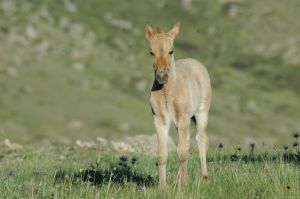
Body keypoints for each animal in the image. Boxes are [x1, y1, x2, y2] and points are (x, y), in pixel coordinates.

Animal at [145, 22, 211, 187]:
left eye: (171, 51)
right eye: (151, 52)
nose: (161, 76)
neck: (168, 92)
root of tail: (194, 61)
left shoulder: (183, 119)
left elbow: (182, 153)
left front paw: (184, 186)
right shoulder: (160, 120)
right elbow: (162, 154)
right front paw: (163, 186)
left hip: (201, 113)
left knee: (201, 139)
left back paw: (204, 176)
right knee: (186, 143)